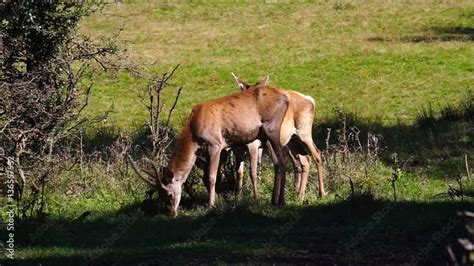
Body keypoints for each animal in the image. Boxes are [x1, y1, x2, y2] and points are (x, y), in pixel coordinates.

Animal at [131, 77, 292, 216]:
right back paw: (273, 200)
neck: (194, 132)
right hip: (264, 137)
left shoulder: (215, 144)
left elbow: (212, 176)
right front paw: (217, 200)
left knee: (283, 161)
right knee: (276, 162)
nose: (170, 213)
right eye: (160, 195)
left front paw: (211, 204)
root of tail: (285, 98)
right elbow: (209, 175)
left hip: (272, 128)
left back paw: (281, 201)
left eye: (169, 193)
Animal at [231, 72, 326, 200]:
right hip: (292, 140)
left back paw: (321, 193)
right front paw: (238, 197)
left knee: (317, 154)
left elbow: (252, 172)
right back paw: (300, 195)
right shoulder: (237, 149)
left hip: (304, 131)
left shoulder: (254, 145)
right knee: (305, 159)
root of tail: (311, 100)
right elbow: (239, 172)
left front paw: (256, 197)